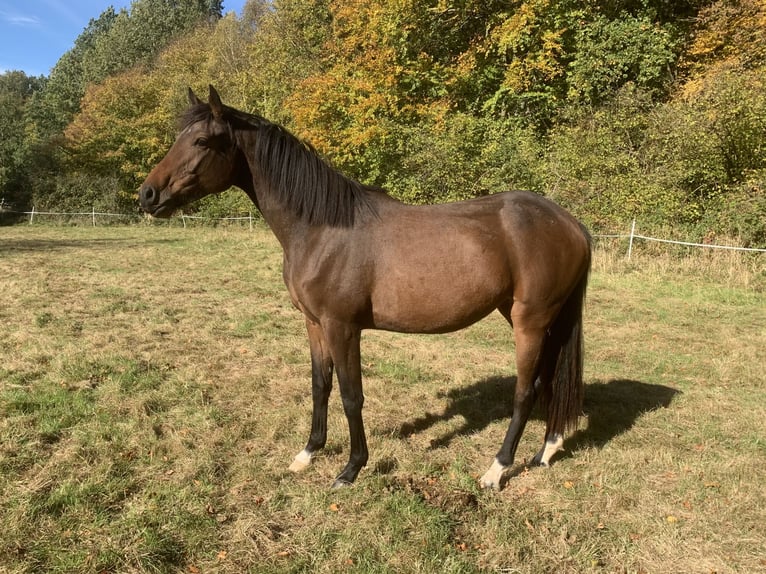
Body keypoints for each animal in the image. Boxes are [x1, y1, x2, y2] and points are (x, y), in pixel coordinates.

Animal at [139, 86, 592, 490]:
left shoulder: (342, 327)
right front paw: (308, 453)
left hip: (529, 322)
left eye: (201, 140)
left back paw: (496, 470)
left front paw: (351, 469)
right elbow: (320, 385)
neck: (323, 228)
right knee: (550, 380)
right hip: (536, 319)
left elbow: (351, 395)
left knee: (526, 391)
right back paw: (547, 449)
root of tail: (570, 223)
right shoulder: (314, 324)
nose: (147, 194)